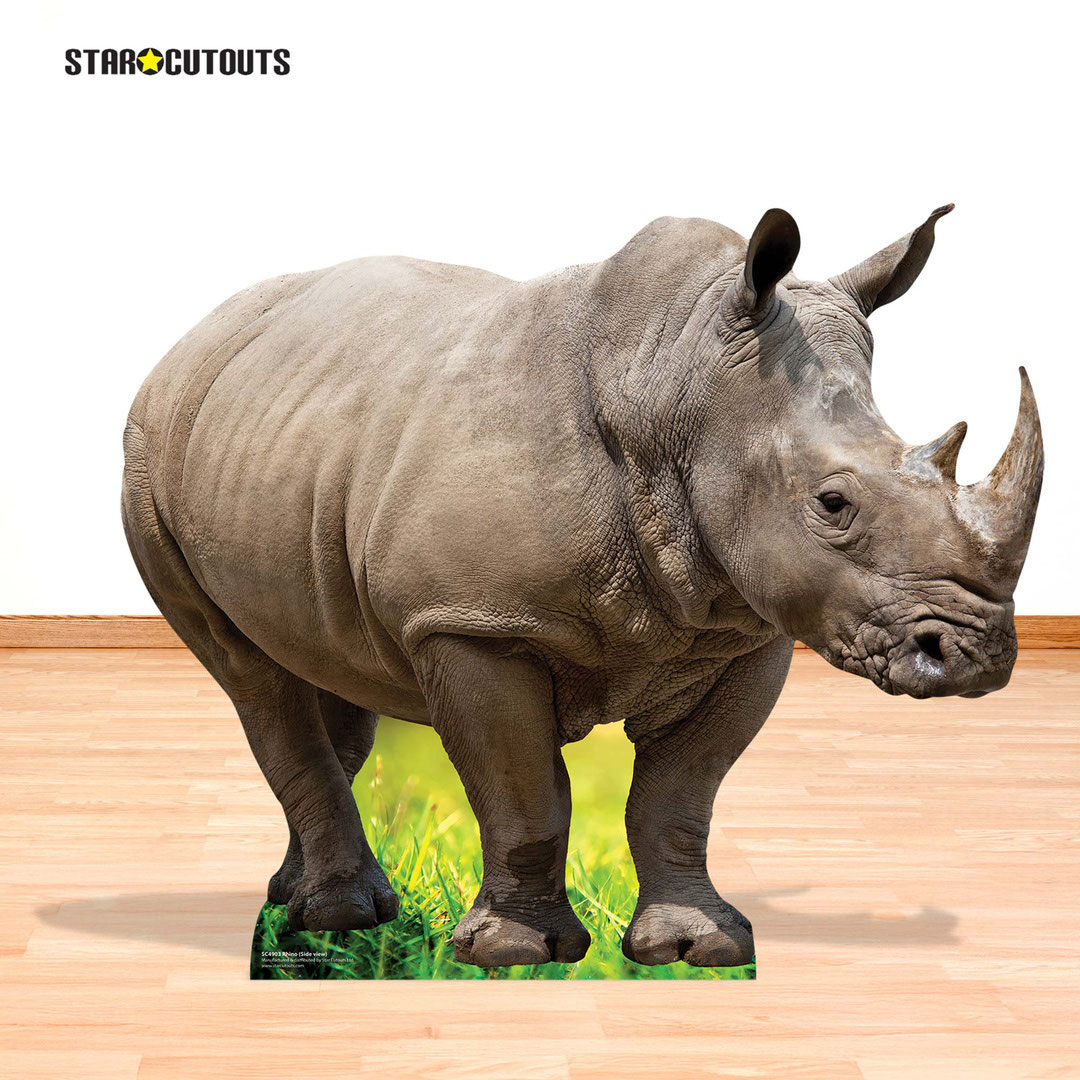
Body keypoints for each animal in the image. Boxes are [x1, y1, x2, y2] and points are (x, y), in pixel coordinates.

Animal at [122, 205, 1043, 968]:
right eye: (833, 504)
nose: (974, 657)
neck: (679, 385)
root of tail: (192, 337)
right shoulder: (472, 621)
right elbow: (524, 793)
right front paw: (515, 954)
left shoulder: (750, 629)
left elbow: (680, 794)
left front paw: (698, 948)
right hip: (147, 456)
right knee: (252, 675)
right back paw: (340, 919)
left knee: (326, 667)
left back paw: (297, 899)